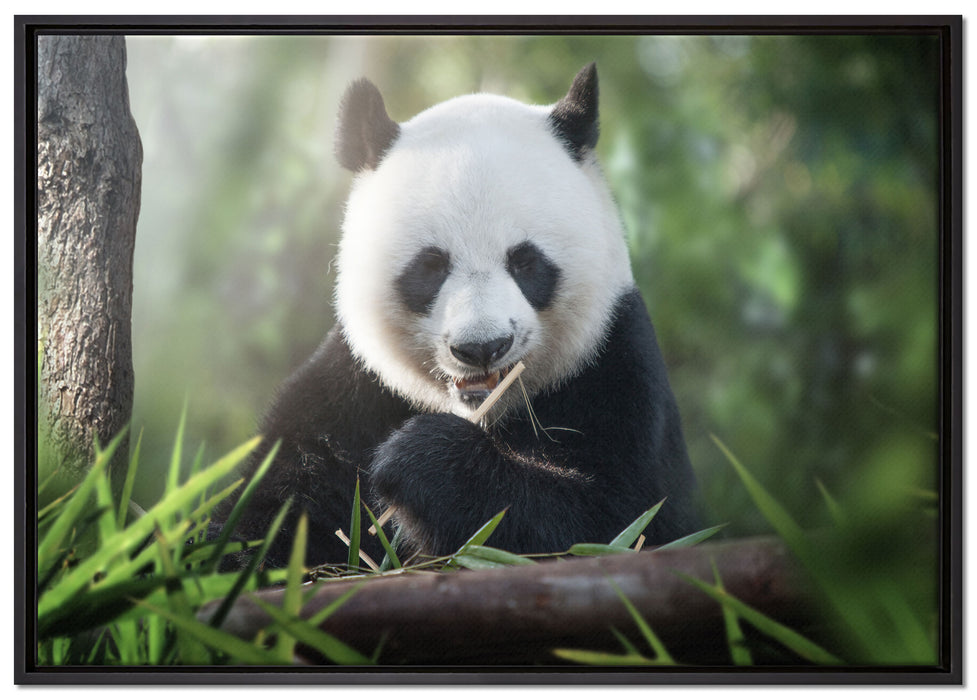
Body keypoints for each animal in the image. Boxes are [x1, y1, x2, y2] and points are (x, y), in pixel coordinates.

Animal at [216, 64, 698, 568]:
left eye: (525, 262)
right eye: (431, 266)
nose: (482, 347)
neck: (481, 411)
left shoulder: (613, 369)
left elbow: (613, 521)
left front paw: (420, 460)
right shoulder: (354, 390)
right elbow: (275, 501)